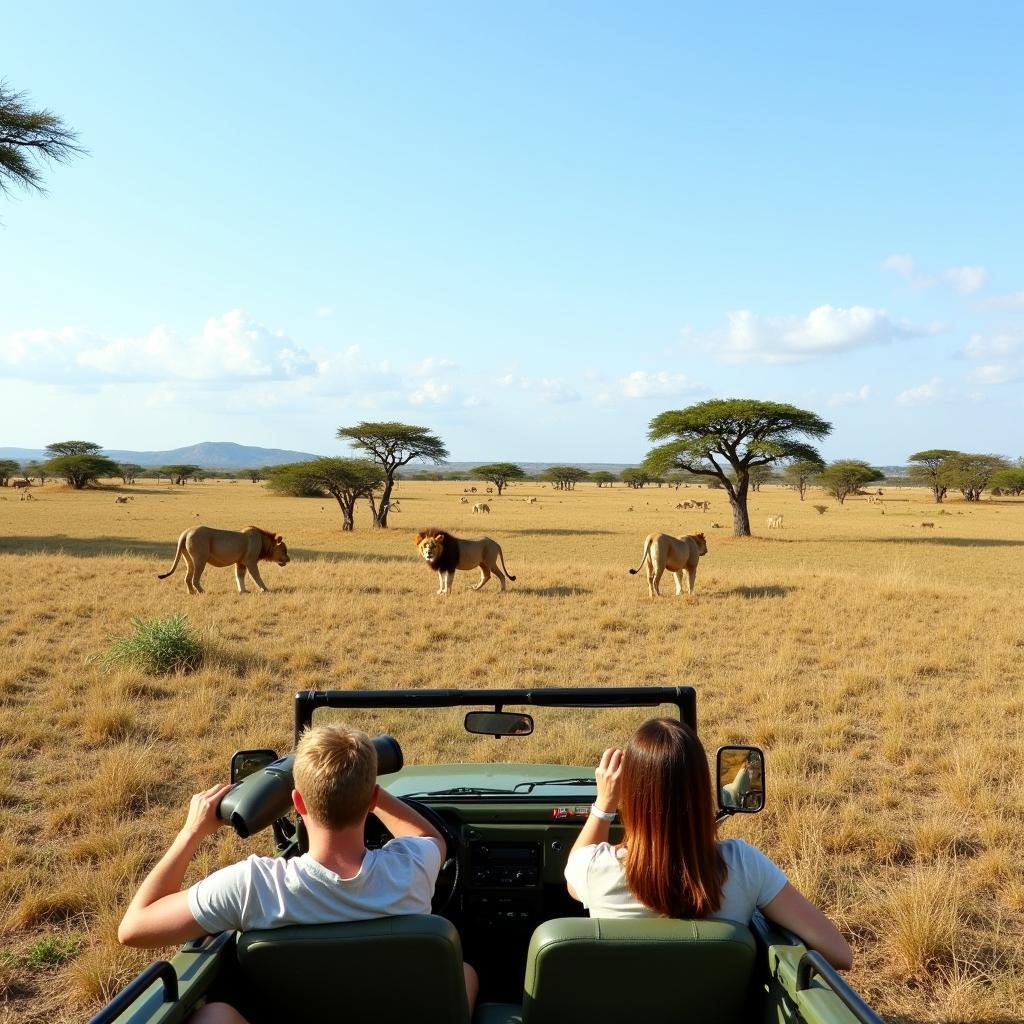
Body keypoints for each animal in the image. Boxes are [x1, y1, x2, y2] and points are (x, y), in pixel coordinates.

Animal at [157, 524, 290, 598]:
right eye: (284, 550)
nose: (288, 559)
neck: (263, 542)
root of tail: (186, 532)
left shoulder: (240, 562)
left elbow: (239, 577)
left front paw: (243, 591)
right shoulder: (250, 561)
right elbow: (256, 576)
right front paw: (265, 589)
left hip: (189, 560)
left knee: (187, 578)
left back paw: (191, 593)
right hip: (200, 559)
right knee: (195, 579)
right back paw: (202, 592)